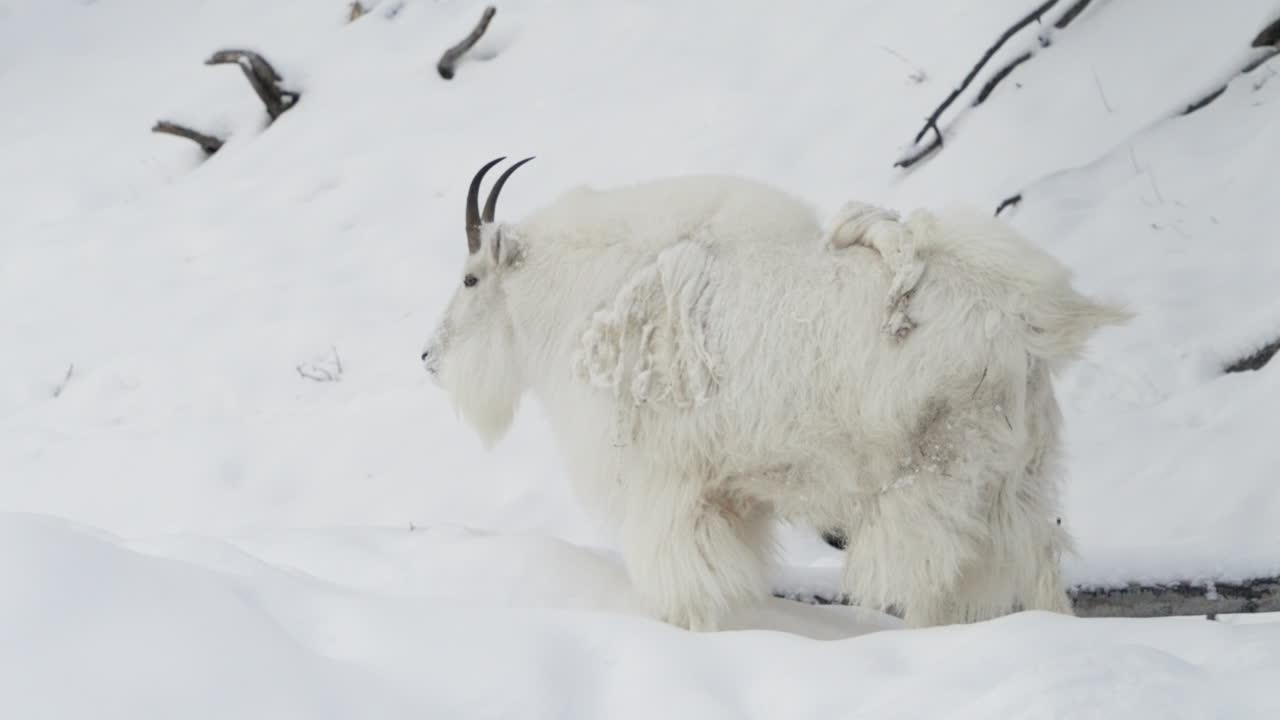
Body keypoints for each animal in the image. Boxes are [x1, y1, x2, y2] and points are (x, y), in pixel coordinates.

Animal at [421, 157, 1131, 630]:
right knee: (1036, 566)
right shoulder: (723, 493)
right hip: (1019, 480)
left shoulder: (668, 486)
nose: (429, 357)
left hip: (935, 478)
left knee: (936, 578)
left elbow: (682, 580)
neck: (601, 293)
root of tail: (1025, 323)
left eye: (471, 277)